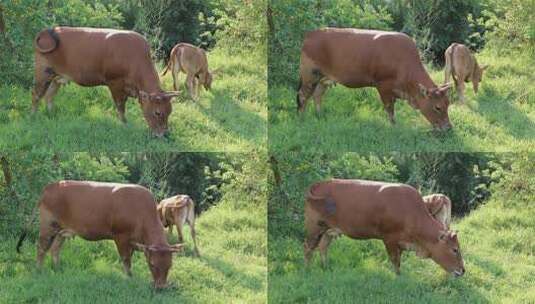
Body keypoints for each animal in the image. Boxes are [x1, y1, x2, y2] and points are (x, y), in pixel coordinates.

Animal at [15, 182, 183, 288]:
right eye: (152, 264)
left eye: (169, 265)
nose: (161, 287)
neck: (142, 213)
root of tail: (51, 186)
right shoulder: (121, 237)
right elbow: (126, 260)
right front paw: (129, 278)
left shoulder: (132, 243)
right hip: (48, 225)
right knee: (41, 247)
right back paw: (39, 270)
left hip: (61, 231)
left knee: (55, 248)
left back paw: (57, 269)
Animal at [32, 27, 181, 137]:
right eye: (157, 112)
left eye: (169, 111)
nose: (165, 134)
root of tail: (52, 29)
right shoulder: (115, 83)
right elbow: (120, 106)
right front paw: (124, 125)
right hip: (43, 72)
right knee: (36, 95)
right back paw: (34, 116)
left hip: (56, 77)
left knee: (49, 96)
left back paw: (51, 115)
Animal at [298, 28, 452, 132]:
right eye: (437, 107)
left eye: (448, 104)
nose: (448, 128)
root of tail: (312, 34)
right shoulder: (383, 86)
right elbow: (390, 109)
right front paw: (394, 127)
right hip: (310, 74)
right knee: (303, 96)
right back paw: (302, 118)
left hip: (323, 78)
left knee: (317, 95)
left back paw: (320, 116)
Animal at [306, 179, 464, 276]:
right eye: (455, 249)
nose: (463, 270)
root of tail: (320, 184)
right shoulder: (389, 240)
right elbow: (395, 262)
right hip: (314, 227)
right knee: (308, 247)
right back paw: (307, 269)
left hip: (328, 230)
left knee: (323, 247)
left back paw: (325, 267)